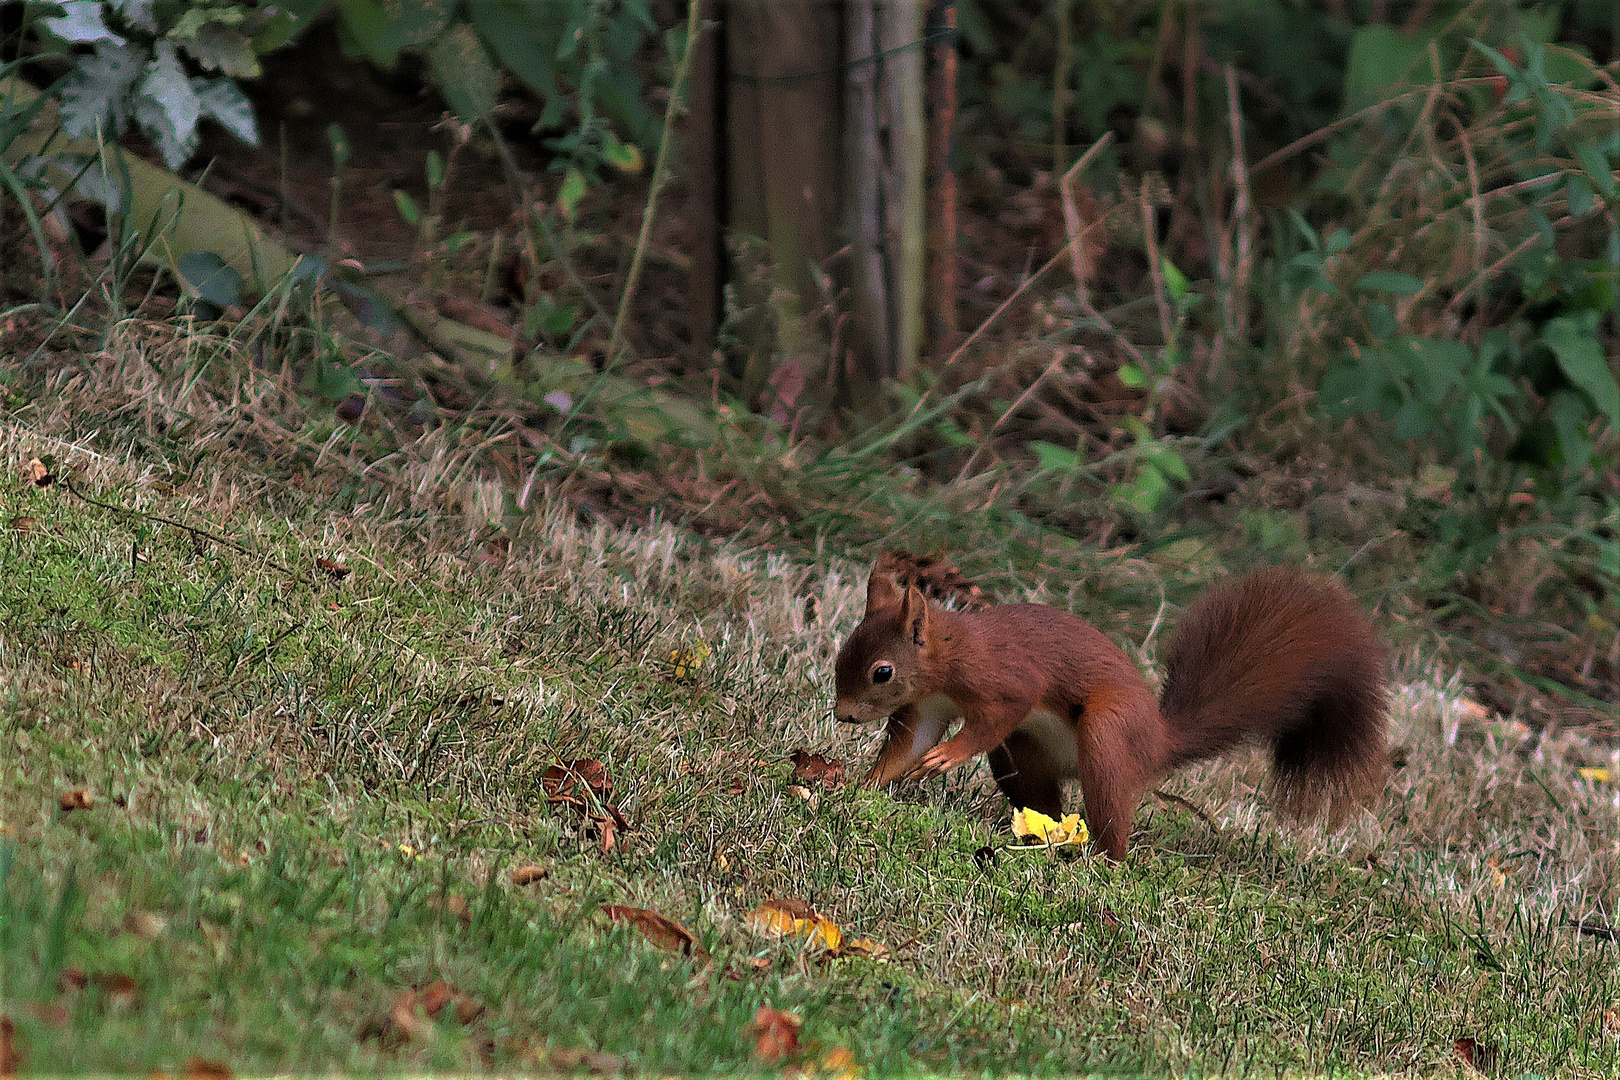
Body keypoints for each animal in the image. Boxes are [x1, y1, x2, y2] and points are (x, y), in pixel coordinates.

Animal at [835, 566, 1393, 861]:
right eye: (842, 653)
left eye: (882, 672)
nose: (842, 716)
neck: (946, 658)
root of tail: (1156, 742)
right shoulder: (925, 706)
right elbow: (908, 745)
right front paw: (861, 787)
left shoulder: (1003, 680)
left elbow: (1000, 712)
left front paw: (949, 755)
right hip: (1023, 755)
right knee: (1045, 798)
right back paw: (1041, 830)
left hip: (1107, 734)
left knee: (1111, 827)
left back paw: (1100, 860)